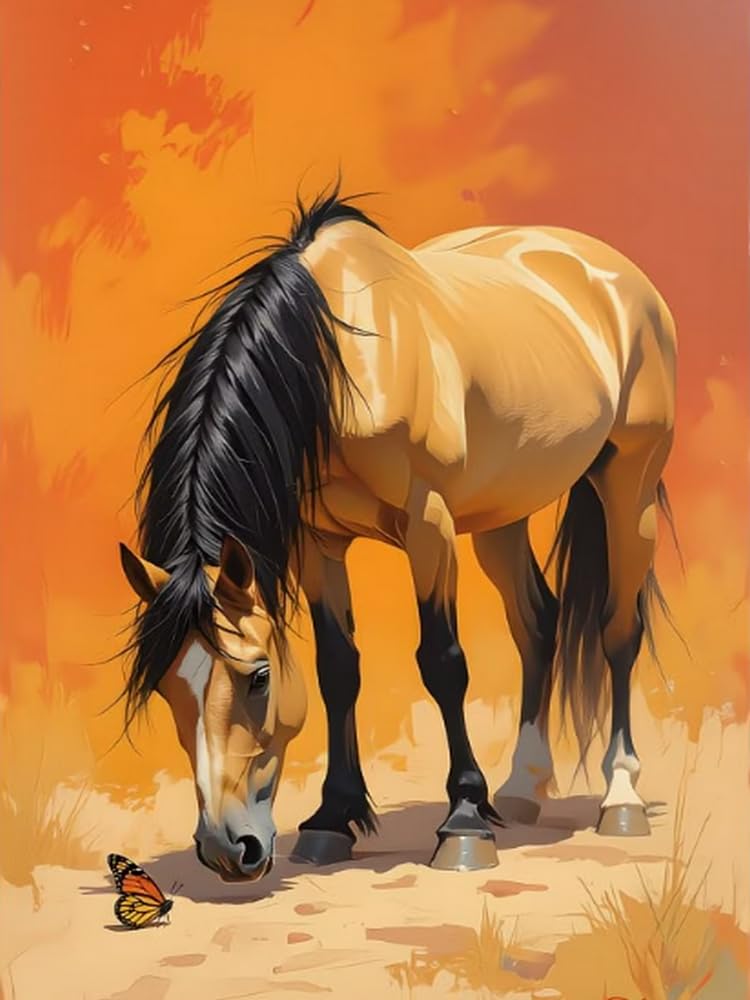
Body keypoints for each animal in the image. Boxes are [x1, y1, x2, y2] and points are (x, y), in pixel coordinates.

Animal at [118, 183, 677, 882]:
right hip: (504, 512)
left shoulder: (428, 524)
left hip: (630, 487)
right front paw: (332, 819)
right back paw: (522, 787)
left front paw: (464, 821)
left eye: (258, 677)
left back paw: (619, 796)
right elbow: (338, 668)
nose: (227, 848)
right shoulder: (317, 543)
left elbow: (443, 663)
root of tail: (616, 274)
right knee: (538, 624)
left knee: (617, 631)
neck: (341, 362)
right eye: (167, 687)